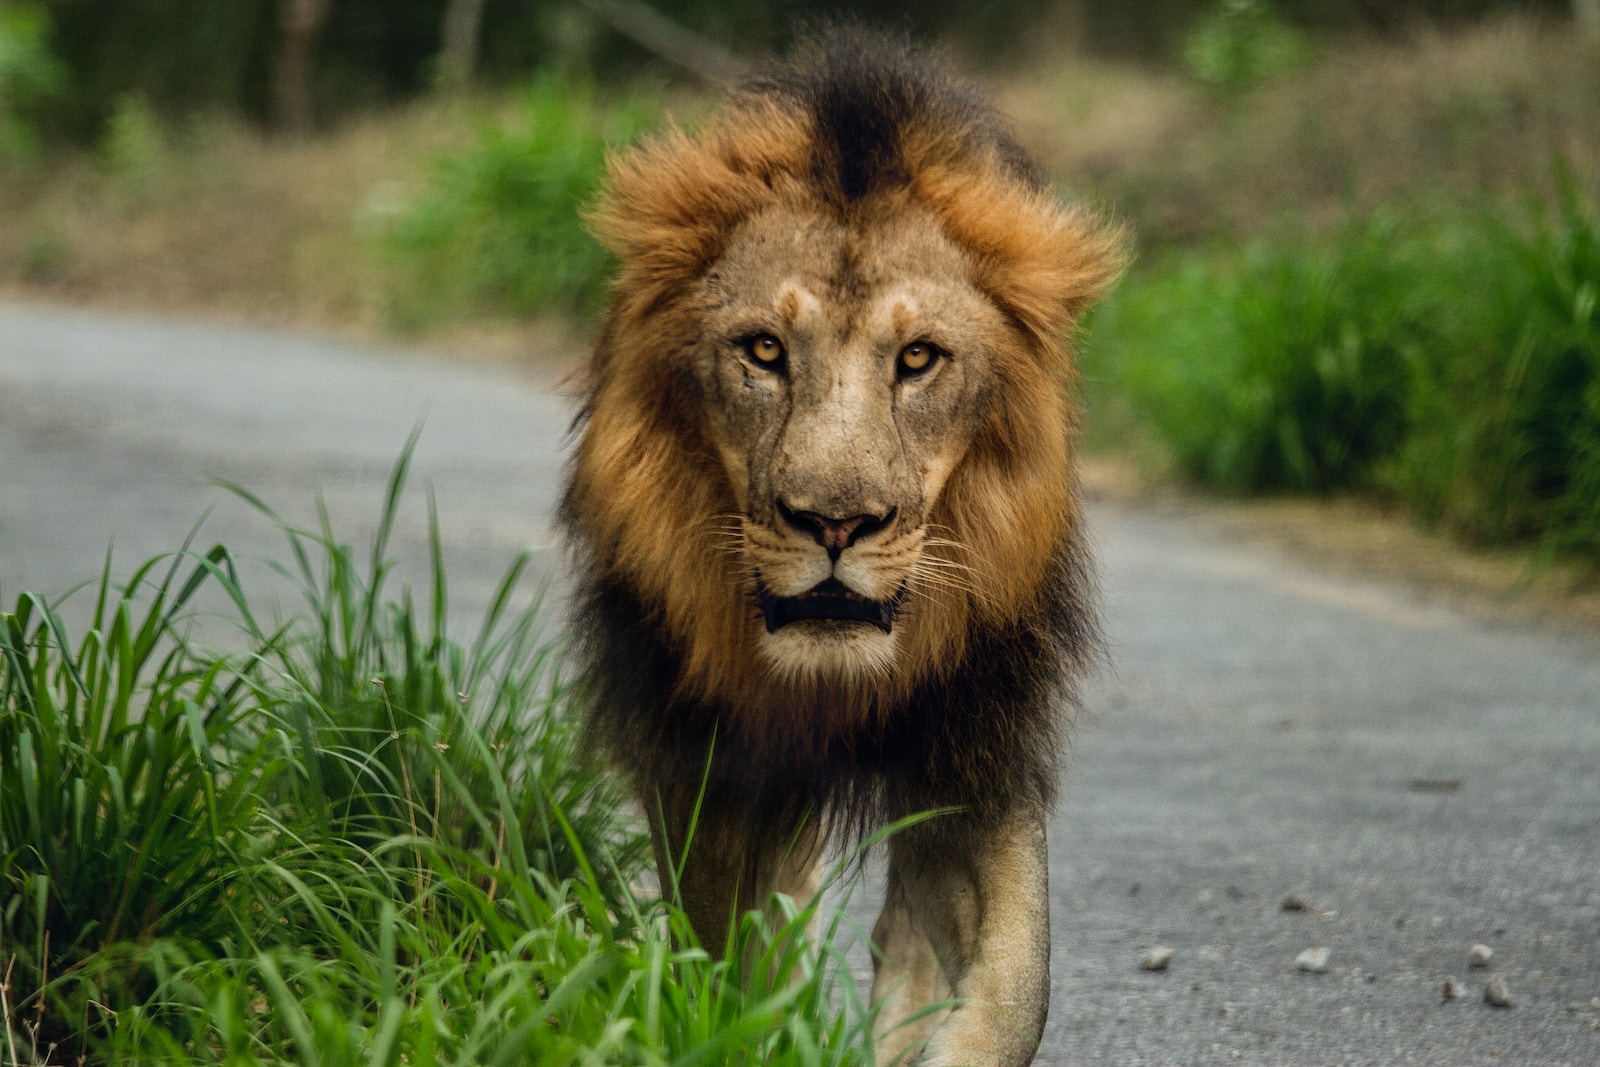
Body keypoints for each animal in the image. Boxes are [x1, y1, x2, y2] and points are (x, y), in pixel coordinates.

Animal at [563, 24, 1126, 1067]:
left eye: (919, 359)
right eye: (763, 350)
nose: (834, 523)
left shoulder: (973, 743)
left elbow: (1013, 989)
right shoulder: (709, 765)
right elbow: (735, 958)